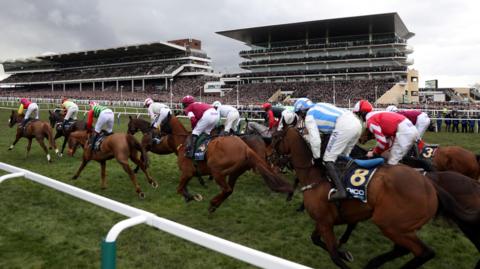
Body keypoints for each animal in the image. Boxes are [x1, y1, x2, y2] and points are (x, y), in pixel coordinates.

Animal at [159, 113, 292, 211]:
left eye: (162, 121)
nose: (157, 133)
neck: (183, 142)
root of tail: (245, 148)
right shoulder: (189, 174)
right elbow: (183, 188)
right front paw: (190, 196)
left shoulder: (187, 173)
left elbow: (180, 189)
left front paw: (192, 197)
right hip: (235, 172)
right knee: (229, 190)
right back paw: (214, 204)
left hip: (217, 171)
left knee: (227, 189)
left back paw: (213, 203)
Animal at [270, 126, 476, 268]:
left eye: (275, 138)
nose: (271, 159)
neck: (316, 176)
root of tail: (431, 186)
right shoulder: (325, 221)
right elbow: (317, 240)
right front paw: (345, 252)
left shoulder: (325, 222)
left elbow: (334, 255)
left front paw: (342, 252)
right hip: (401, 226)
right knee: (405, 249)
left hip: (389, 223)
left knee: (424, 252)